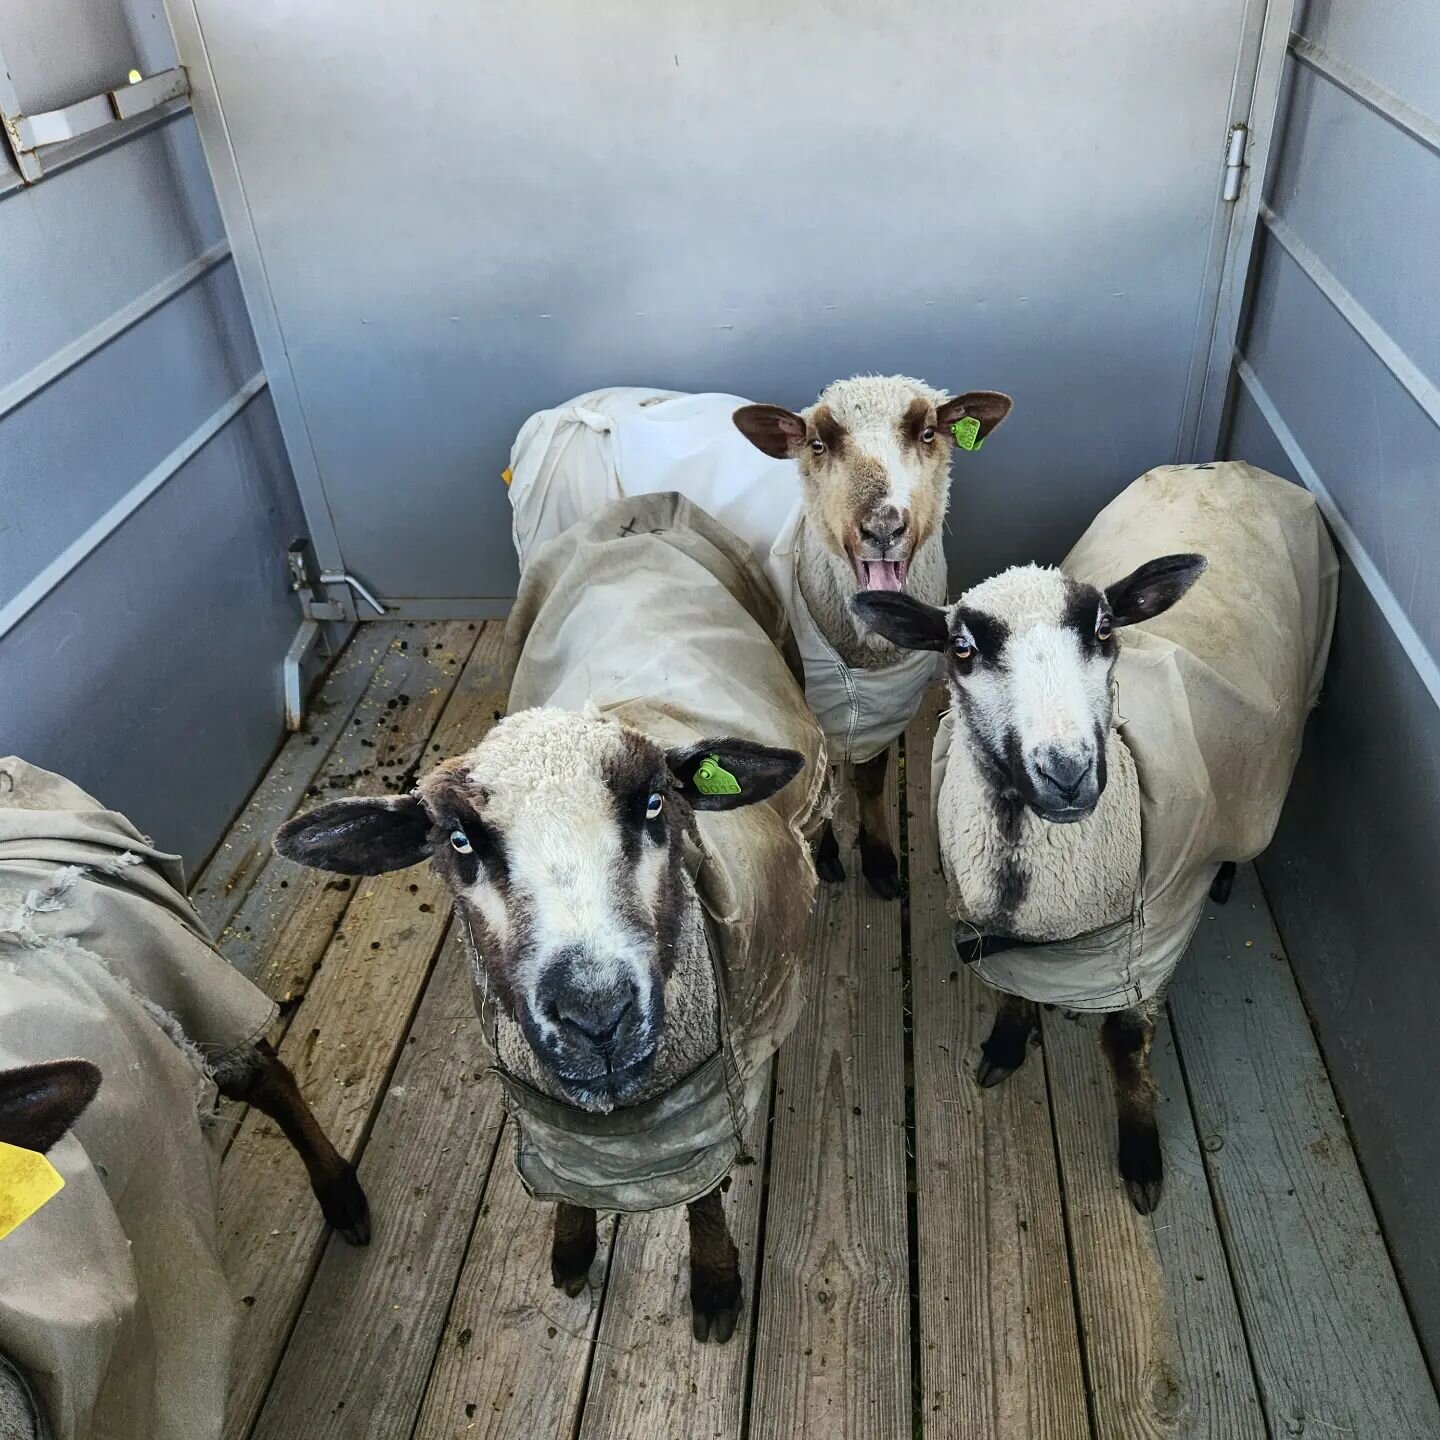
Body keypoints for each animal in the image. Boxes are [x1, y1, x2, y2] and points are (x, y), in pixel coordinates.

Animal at [273, 492, 829, 1336]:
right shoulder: (545, 1116)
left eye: (657, 803)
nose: (595, 1014)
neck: (619, 1116)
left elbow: (704, 1198)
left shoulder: (714, 1098)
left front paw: (715, 1285)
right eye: (458, 841)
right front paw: (571, 1249)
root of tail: (645, 504)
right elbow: (568, 1193)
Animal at [852, 466, 1336, 1209]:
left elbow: (1125, 1049)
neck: (1045, 900)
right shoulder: (993, 928)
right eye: (961, 649)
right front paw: (1004, 1049)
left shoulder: (1146, 947)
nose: (1067, 772)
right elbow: (1009, 992)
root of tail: (1237, 470)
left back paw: (1228, 873)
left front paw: (1140, 1156)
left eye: (1106, 629)